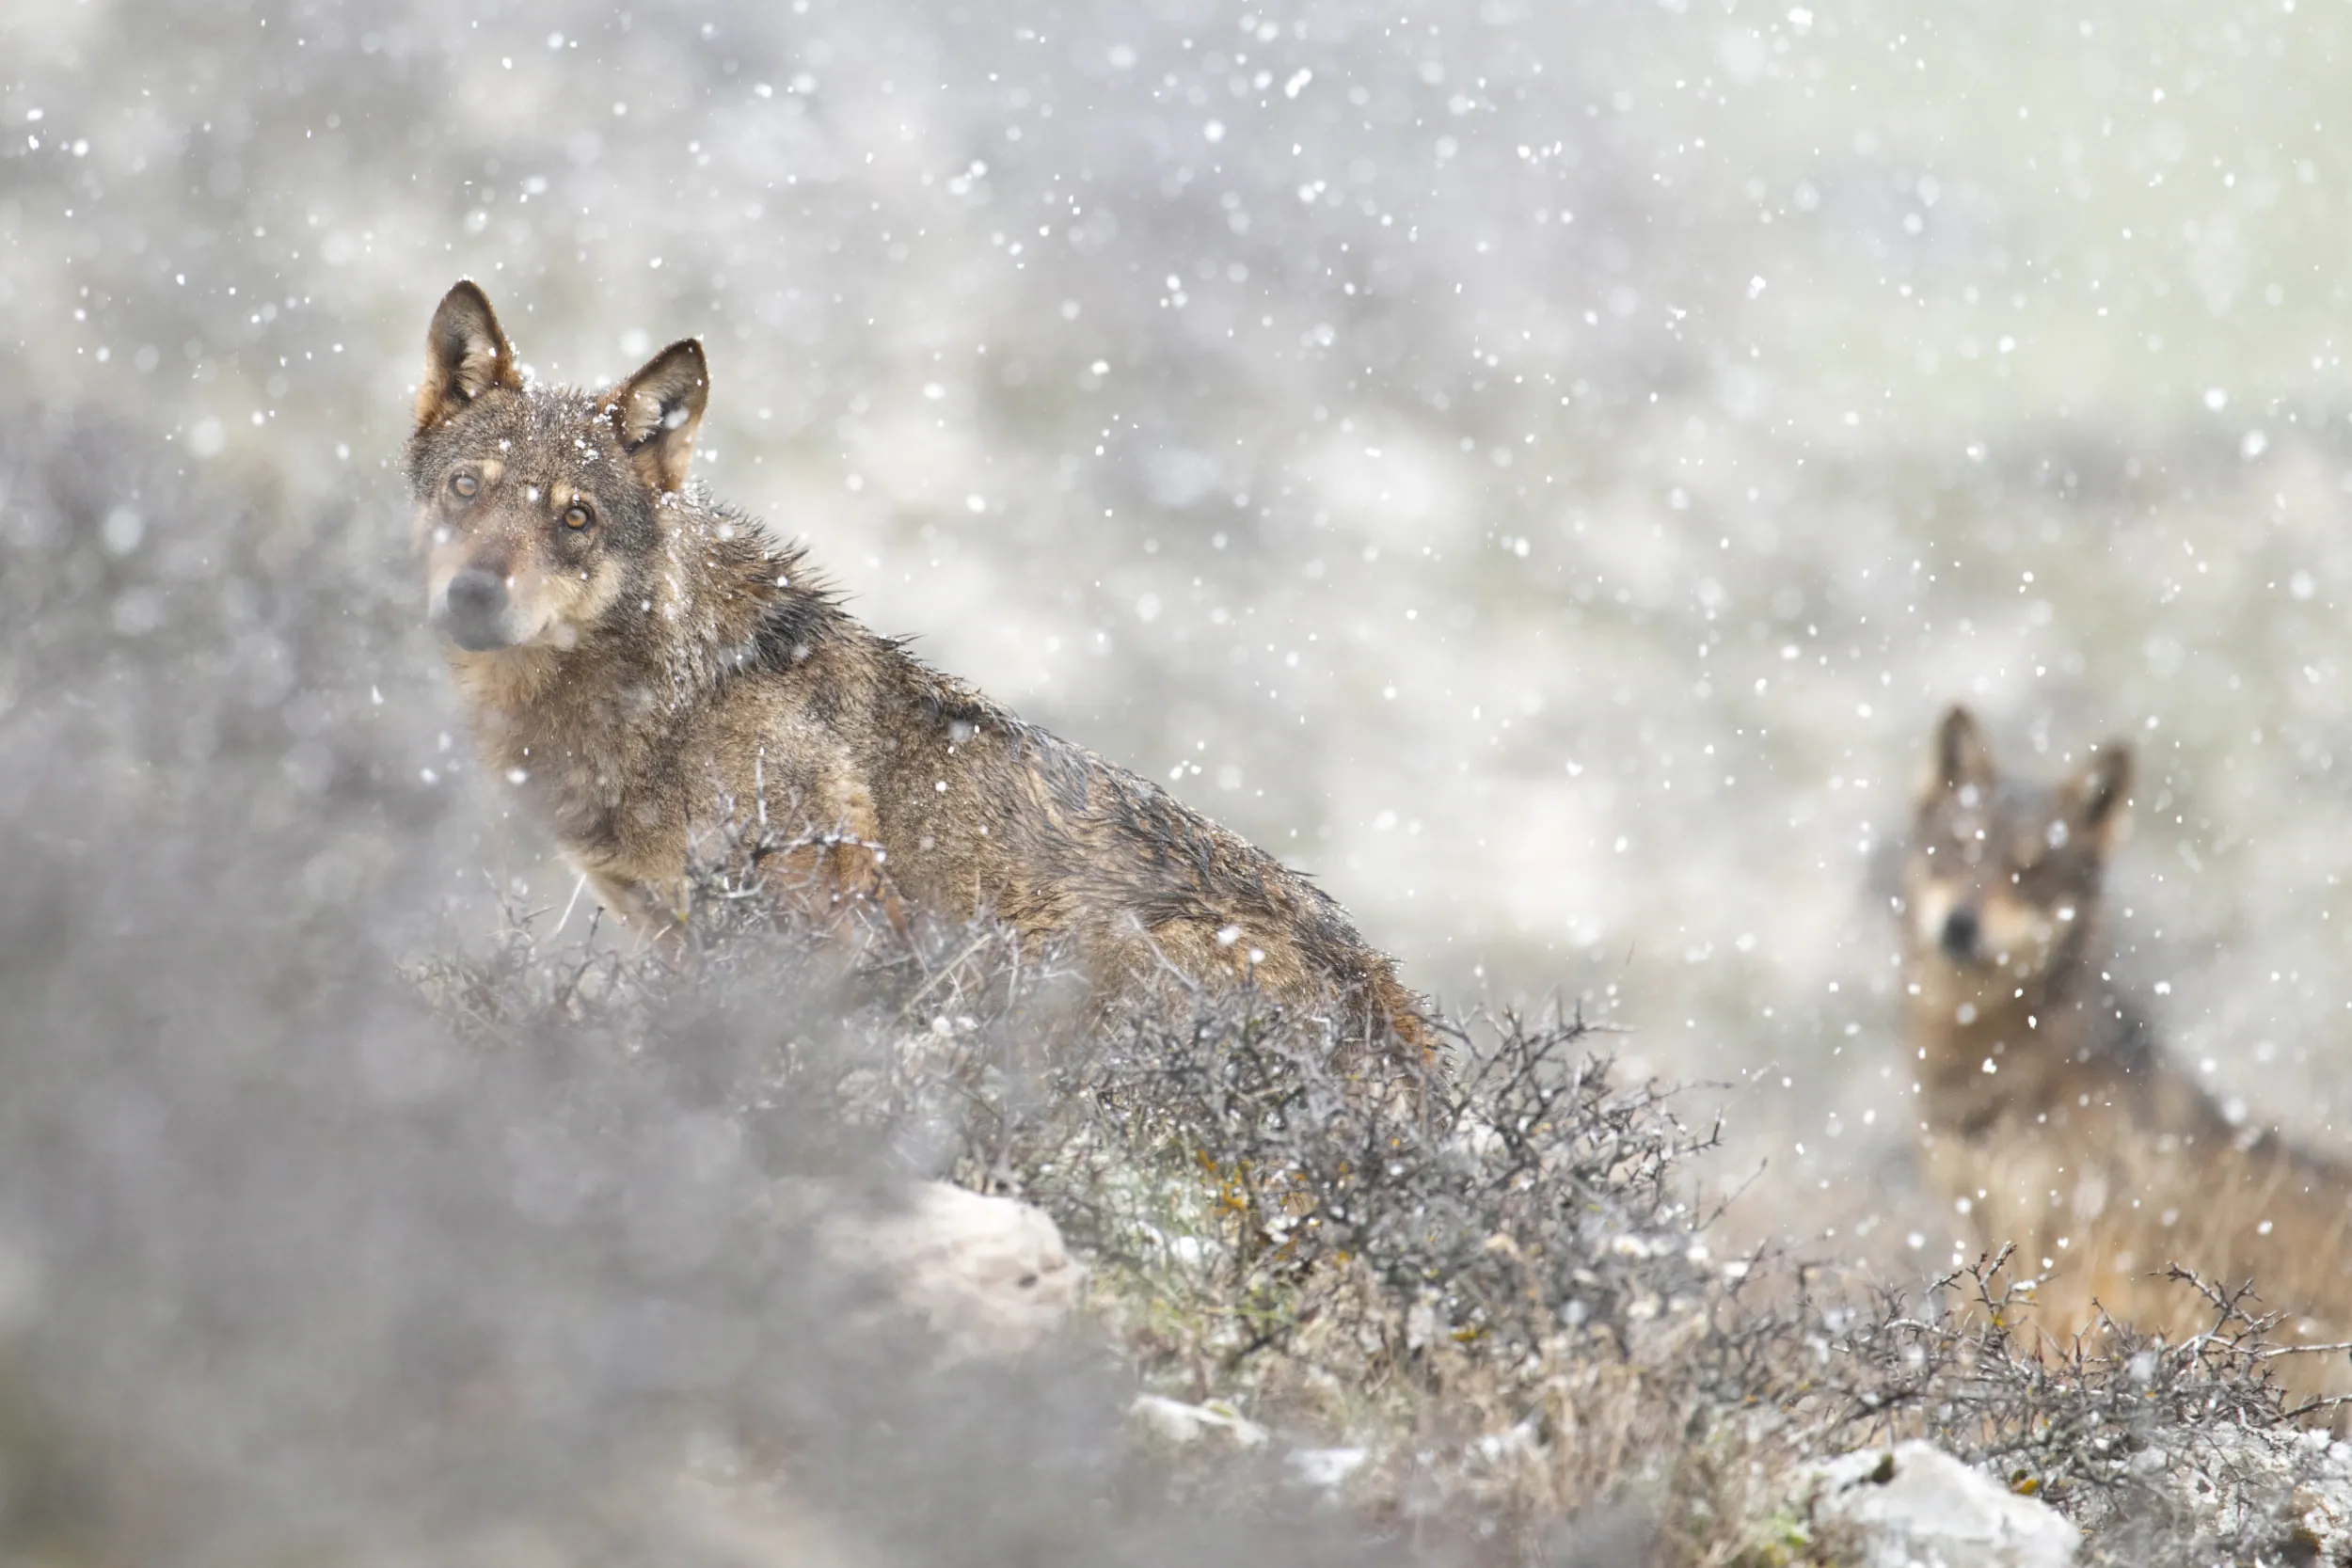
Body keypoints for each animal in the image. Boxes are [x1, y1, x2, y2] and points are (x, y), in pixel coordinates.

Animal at [406, 280, 1428, 1057]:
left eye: (575, 517)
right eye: (467, 488)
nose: (473, 595)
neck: (675, 694)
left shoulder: (827, 925)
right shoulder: (667, 932)